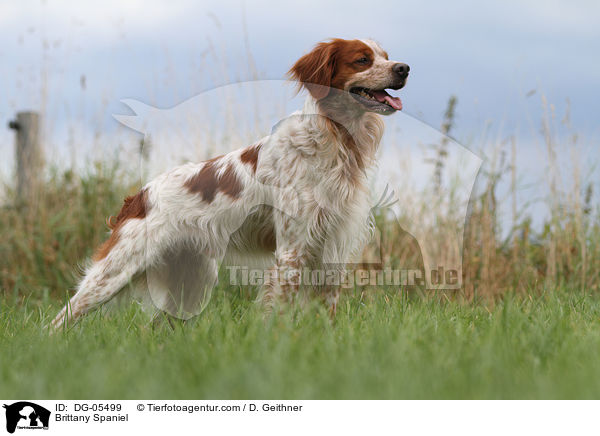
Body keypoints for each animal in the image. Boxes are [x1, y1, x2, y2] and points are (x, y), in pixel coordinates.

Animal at [51, 39, 410, 328]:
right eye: (362, 59)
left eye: (386, 56)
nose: (404, 68)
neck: (337, 141)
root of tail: (138, 196)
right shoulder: (292, 249)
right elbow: (281, 308)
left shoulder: (332, 247)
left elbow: (328, 309)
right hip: (117, 270)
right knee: (60, 320)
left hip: (188, 281)